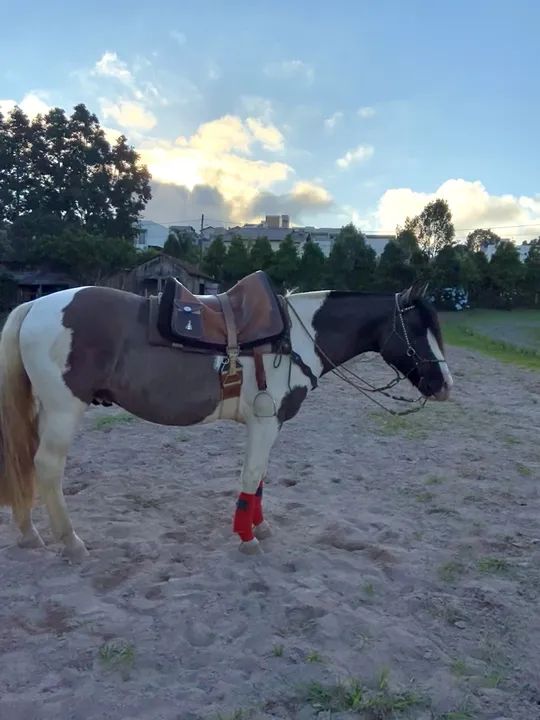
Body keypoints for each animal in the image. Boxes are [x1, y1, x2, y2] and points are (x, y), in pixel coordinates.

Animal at [0, 275, 453, 561]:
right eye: (418, 327)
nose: (445, 385)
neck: (295, 338)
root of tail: (36, 305)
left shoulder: (270, 426)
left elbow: (260, 480)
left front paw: (260, 527)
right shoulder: (265, 423)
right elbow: (250, 477)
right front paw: (247, 539)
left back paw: (29, 534)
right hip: (64, 410)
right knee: (46, 468)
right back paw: (71, 543)